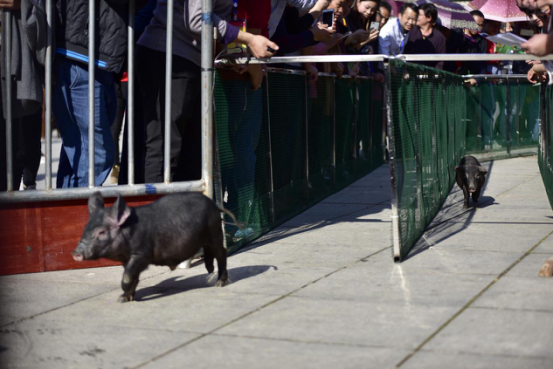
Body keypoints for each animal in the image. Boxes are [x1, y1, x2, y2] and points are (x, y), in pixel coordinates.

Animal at [72, 191, 230, 300]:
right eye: (86, 228)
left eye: (101, 232)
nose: (76, 252)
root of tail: (215, 206)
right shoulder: (126, 258)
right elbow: (132, 275)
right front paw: (124, 298)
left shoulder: (142, 254)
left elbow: (128, 276)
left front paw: (120, 298)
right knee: (209, 251)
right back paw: (210, 271)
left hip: (215, 232)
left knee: (222, 253)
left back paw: (219, 283)